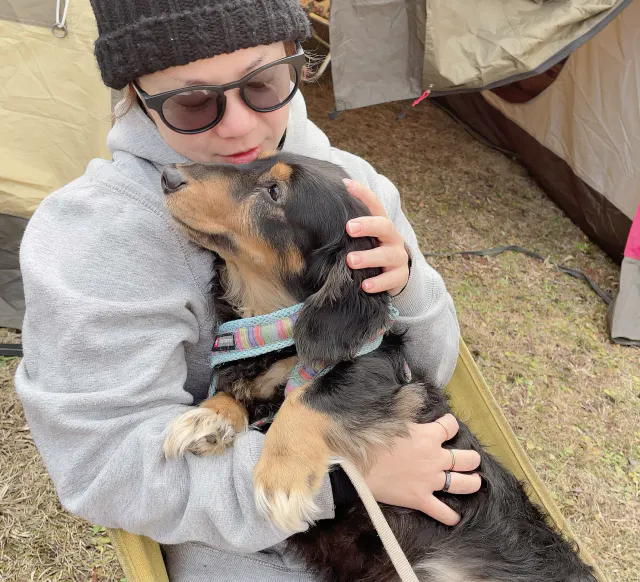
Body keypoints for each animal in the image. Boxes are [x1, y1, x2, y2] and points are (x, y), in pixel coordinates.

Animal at [161, 153, 596, 582]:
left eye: (274, 191)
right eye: (250, 164)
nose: (167, 176)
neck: (275, 327)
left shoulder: (385, 375)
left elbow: (309, 397)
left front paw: (280, 477)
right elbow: (237, 393)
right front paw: (207, 418)